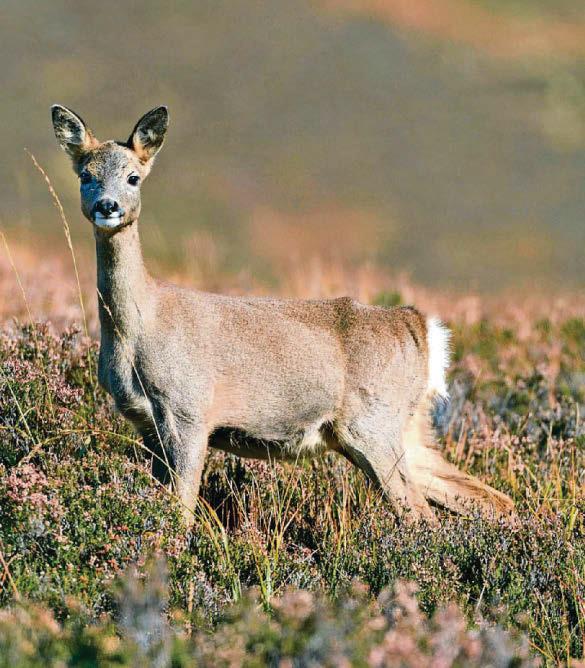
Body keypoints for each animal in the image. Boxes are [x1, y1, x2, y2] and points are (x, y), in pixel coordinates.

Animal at [50, 104, 514, 527]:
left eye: (133, 177)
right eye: (85, 175)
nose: (107, 205)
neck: (139, 328)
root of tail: (419, 327)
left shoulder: (187, 410)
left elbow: (180, 510)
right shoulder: (146, 423)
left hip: (373, 424)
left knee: (419, 512)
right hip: (408, 427)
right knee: (488, 498)